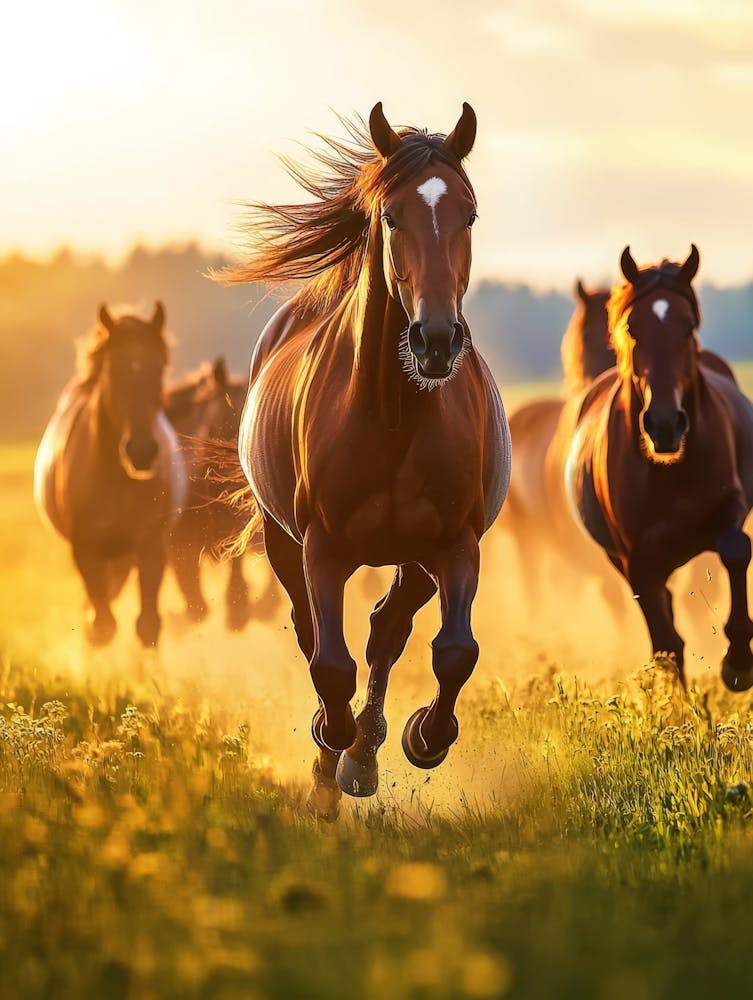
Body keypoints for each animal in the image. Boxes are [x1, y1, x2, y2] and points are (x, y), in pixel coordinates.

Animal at [34, 302, 186, 647]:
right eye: (113, 371)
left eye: (159, 369)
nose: (141, 451)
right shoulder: (86, 550)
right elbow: (103, 626)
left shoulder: (150, 546)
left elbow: (147, 626)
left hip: (123, 559)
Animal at [219, 102, 510, 819]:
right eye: (392, 216)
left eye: (468, 214)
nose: (436, 340)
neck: (394, 412)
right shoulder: (322, 546)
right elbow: (329, 663)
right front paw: (332, 748)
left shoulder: (456, 543)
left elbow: (454, 651)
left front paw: (422, 738)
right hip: (282, 541)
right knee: (316, 632)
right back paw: (340, 755)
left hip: (416, 556)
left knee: (389, 626)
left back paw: (368, 751)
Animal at [564, 245, 753, 689]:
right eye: (633, 327)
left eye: (688, 326)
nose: (664, 424)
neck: (670, 470)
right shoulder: (636, 559)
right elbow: (666, 643)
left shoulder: (730, 508)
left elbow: (736, 549)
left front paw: (738, 662)